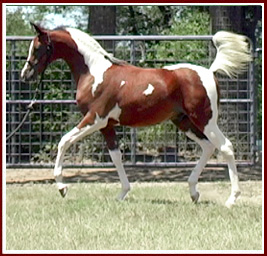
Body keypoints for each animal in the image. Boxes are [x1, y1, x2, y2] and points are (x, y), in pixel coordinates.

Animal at [21, 23, 253, 208]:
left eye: (38, 48)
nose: (25, 75)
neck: (94, 73)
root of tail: (210, 73)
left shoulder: (95, 119)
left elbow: (64, 141)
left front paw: (61, 186)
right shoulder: (107, 126)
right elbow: (116, 156)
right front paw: (122, 193)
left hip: (205, 120)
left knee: (225, 147)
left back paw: (231, 199)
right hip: (184, 122)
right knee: (208, 147)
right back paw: (194, 192)